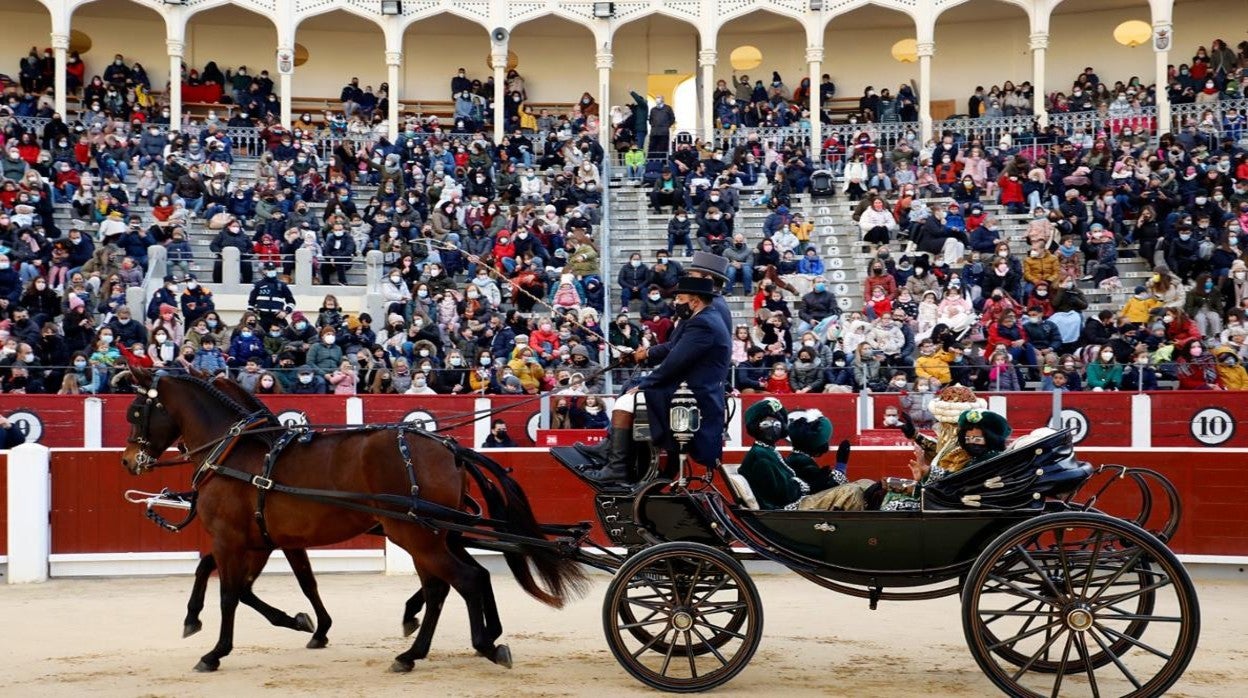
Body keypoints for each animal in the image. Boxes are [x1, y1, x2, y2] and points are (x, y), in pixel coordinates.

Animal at [121, 369, 584, 674]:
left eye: (136, 412)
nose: (128, 461)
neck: (237, 451)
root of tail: (448, 446)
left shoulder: (230, 538)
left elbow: (231, 593)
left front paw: (215, 650)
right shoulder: (260, 540)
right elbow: (242, 581)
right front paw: (302, 623)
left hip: (416, 535)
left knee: (465, 580)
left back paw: (480, 645)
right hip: (431, 535)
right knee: (448, 585)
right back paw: (417, 650)